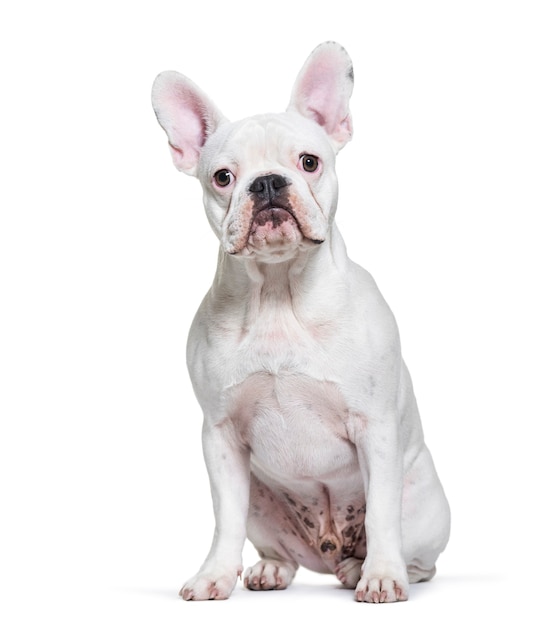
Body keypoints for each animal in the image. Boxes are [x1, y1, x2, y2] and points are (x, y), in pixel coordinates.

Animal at [153, 42, 452, 600]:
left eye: (308, 162)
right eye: (223, 177)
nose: (267, 182)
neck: (278, 294)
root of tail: (328, 550)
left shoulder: (375, 427)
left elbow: (382, 515)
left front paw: (382, 577)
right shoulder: (220, 436)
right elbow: (225, 519)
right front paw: (213, 576)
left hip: (425, 507)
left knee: (416, 554)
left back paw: (366, 568)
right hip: (262, 501)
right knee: (277, 548)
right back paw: (271, 569)